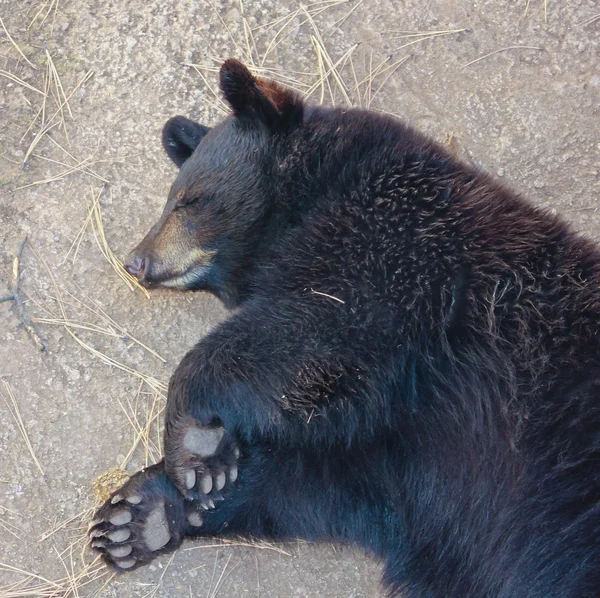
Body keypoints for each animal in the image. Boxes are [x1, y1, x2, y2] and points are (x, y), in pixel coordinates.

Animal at [89, 57, 600, 598]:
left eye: (187, 200)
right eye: (173, 198)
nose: (135, 261)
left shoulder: (399, 249)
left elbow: (320, 327)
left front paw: (193, 446)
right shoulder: (401, 446)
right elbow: (333, 480)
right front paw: (143, 514)